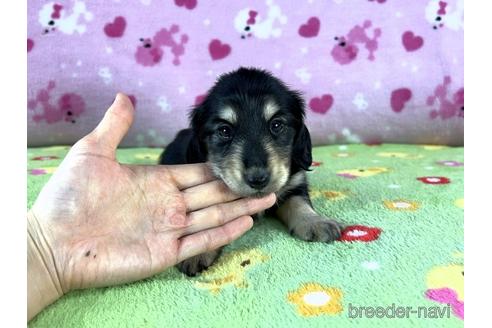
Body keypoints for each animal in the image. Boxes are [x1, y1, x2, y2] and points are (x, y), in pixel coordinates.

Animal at [159, 67, 342, 276]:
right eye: (224, 131)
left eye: (276, 125)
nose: (258, 179)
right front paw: (197, 252)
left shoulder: (294, 183)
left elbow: (299, 203)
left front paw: (316, 222)